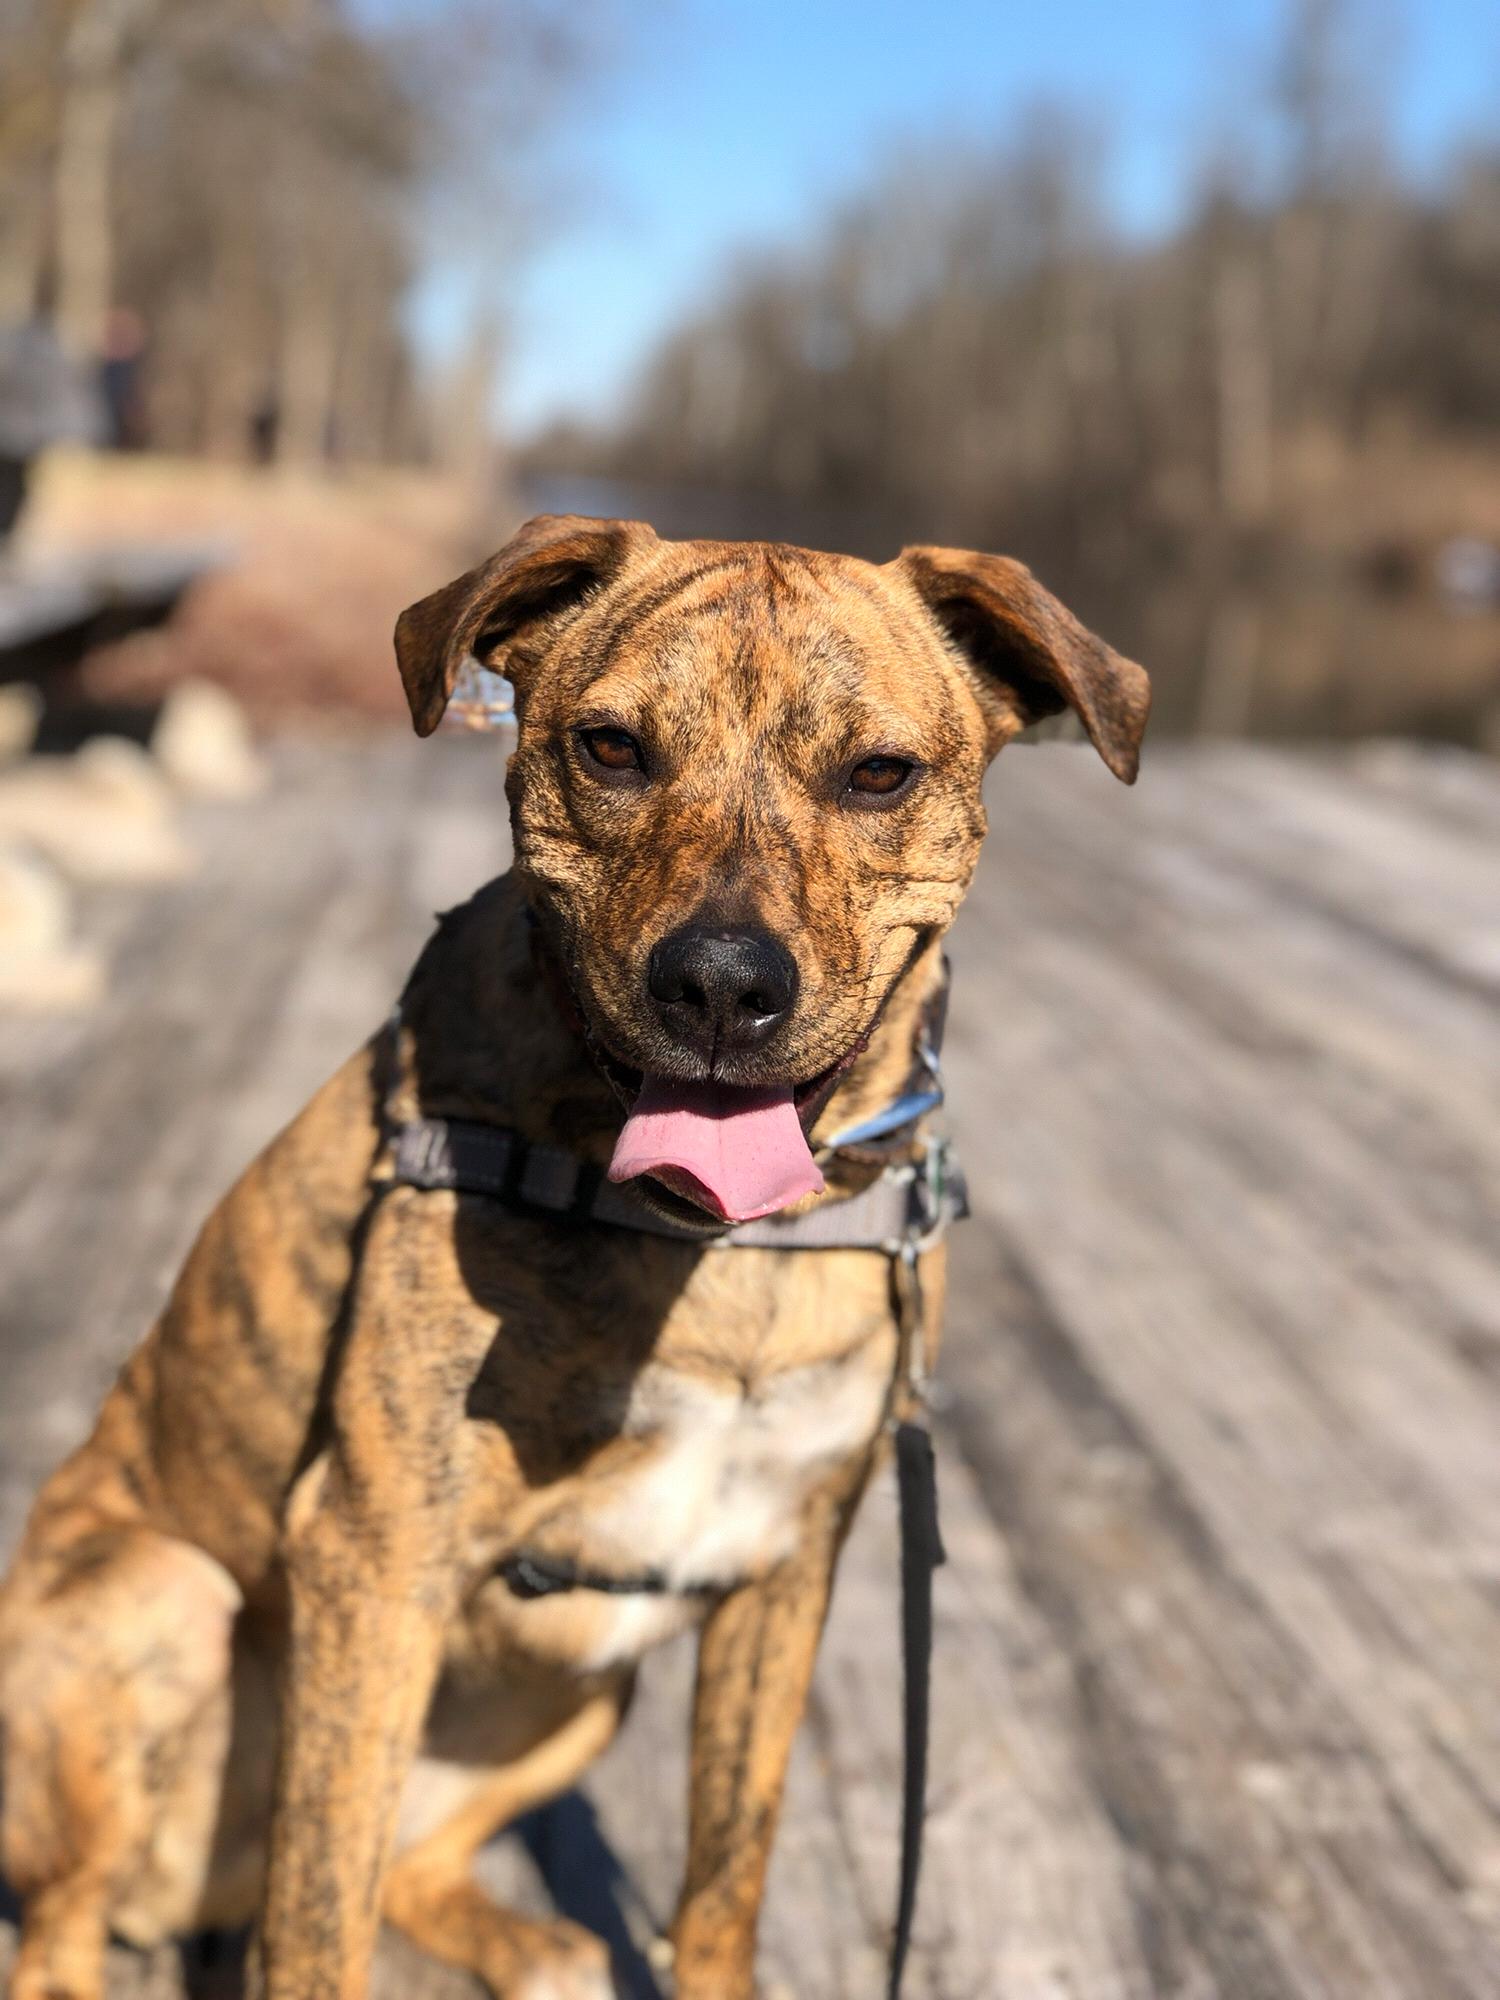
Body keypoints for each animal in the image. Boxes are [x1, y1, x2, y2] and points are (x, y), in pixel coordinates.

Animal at [0, 520, 1152, 2000]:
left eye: (879, 774)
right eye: (611, 748)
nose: (721, 984)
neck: (715, 1250)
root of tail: (193, 1886)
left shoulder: (785, 1573)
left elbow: (727, 1873)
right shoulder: (374, 1557)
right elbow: (317, 1925)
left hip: (590, 1693)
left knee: (406, 1865)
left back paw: (535, 1945)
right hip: (167, 1595)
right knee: (102, 1917)